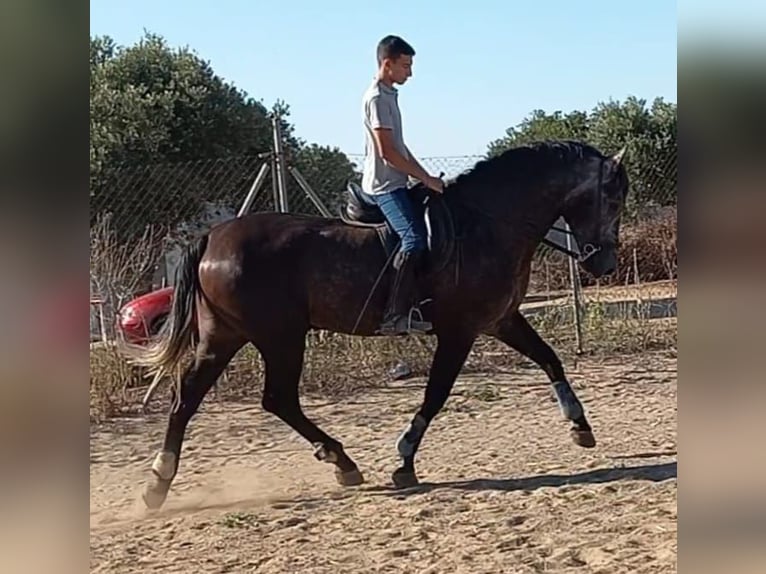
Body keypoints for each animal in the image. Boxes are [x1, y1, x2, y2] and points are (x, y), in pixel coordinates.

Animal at [127, 141, 632, 512]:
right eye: (612, 198)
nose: (604, 264)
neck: (489, 222)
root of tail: (213, 236)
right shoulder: (460, 331)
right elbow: (436, 394)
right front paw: (405, 461)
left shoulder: (501, 320)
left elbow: (550, 359)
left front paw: (580, 427)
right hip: (279, 337)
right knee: (274, 399)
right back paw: (340, 462)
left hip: (226, 336)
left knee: (189, 399)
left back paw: (158, 485)